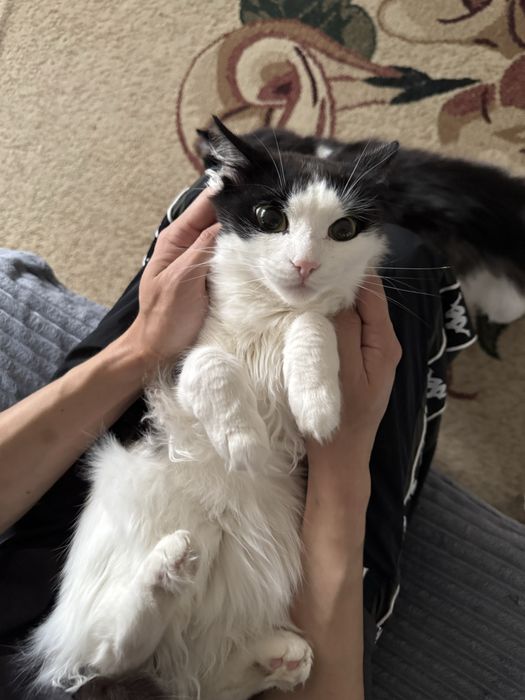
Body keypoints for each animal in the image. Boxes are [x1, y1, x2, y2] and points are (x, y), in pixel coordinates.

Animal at [25, 117, 398, 700]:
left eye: (342, 230)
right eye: (270, 218)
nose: (304, 264)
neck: (268, 316)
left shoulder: (317, 324)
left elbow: (311, 323)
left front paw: (318, 403)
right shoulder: (178, 362)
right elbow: (211, 364)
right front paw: (241, 441)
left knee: (193, 669)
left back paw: (276, 654)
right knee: (110, 650)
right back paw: (167, 568)